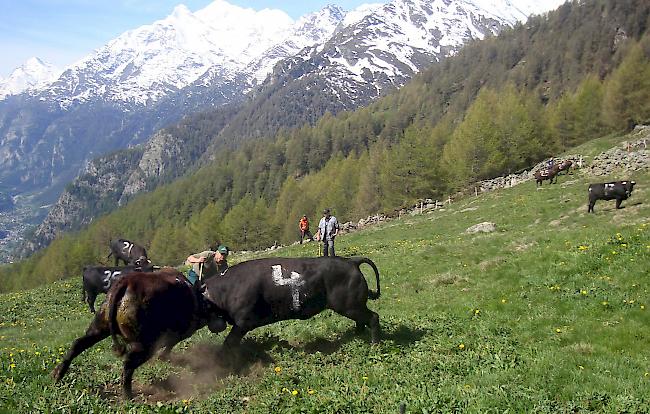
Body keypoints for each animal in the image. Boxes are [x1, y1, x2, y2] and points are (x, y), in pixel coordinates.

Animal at [52, 270, 227, 400]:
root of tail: (127, 283)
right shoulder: (178, 333)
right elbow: (169, 345)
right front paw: (164, 356)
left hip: (99, 328)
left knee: (78, 344)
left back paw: (58, 374)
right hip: (144, 345)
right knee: (128, 365)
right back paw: (128, 395)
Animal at [204, 256, 380, 346]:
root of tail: (351, 262)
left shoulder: (243, 322)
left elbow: (228, 343)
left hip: (350, 306)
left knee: (373, 318)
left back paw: (374, 344)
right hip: (354, 306)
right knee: (362, 321)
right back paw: (357, 336)